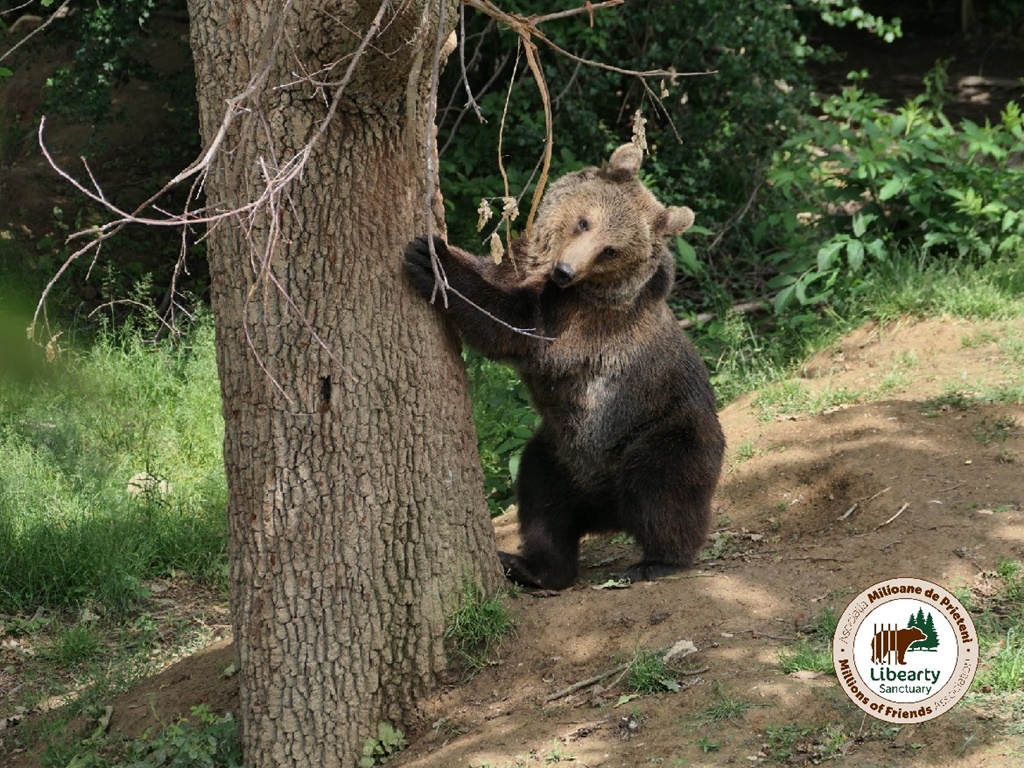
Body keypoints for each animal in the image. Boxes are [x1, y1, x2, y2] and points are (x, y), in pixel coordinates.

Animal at [403, 143, 724, 589]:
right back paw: (532, 567)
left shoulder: (584, 322)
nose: (565, 270)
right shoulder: (525, 266)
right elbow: (496, 272)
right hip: (559, 450)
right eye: (583, 222)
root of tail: (605, 512)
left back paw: (657, 561)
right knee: (541, 499)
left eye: (611, 250)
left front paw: (431, 261)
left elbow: (517, 326)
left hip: (661, 431)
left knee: (662, 491)